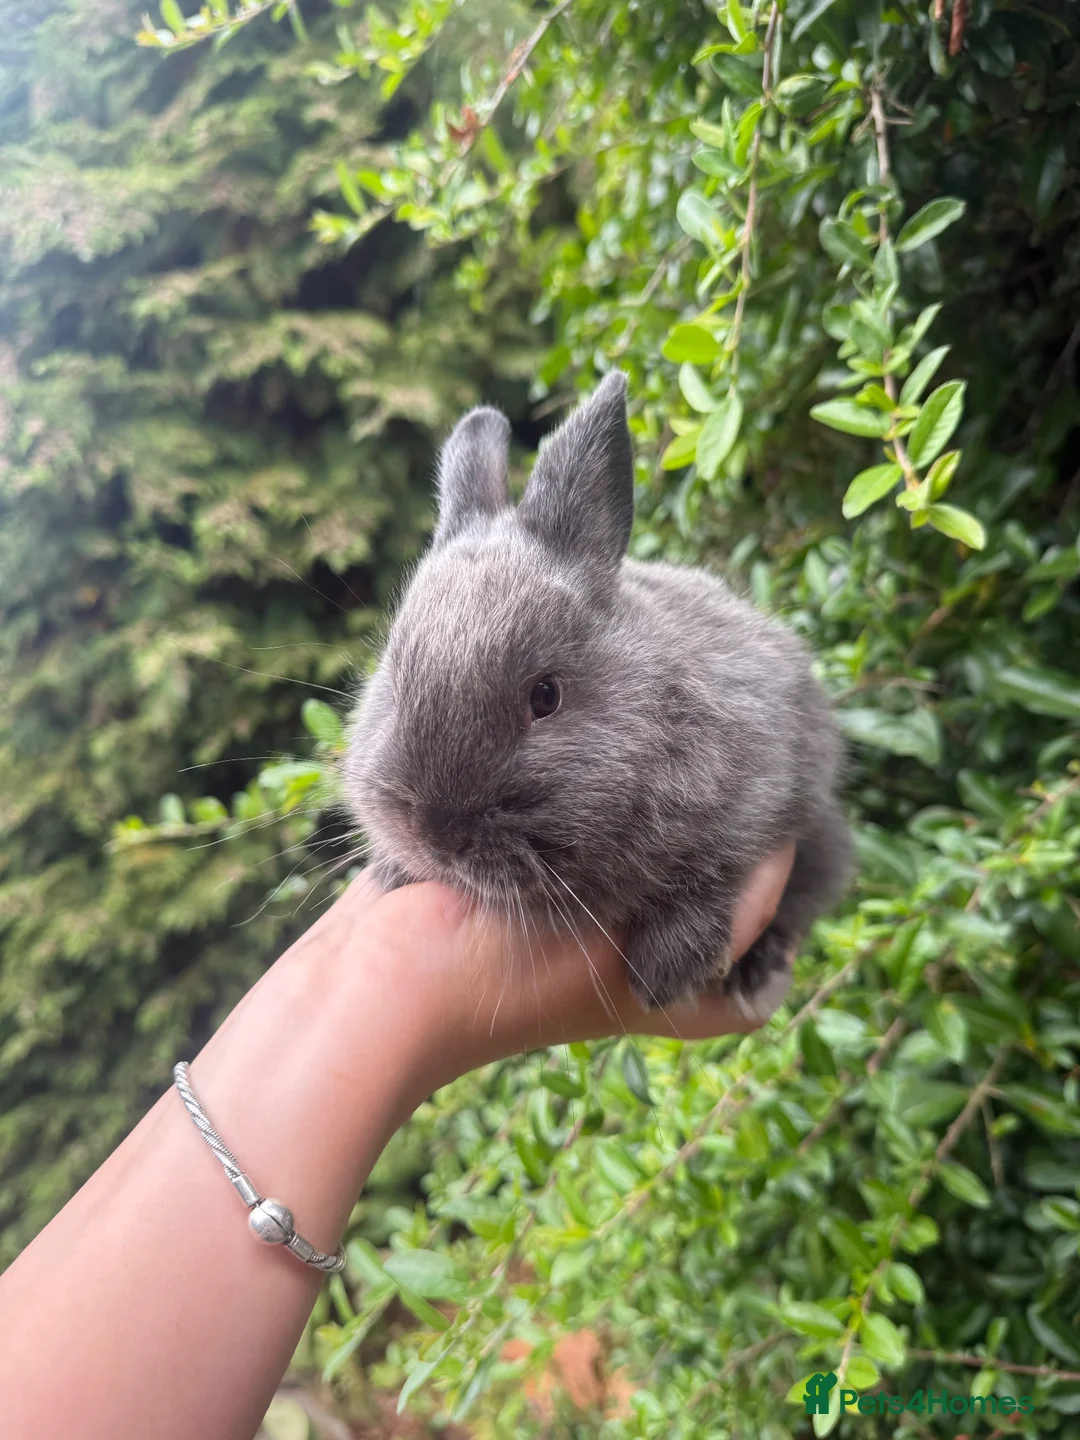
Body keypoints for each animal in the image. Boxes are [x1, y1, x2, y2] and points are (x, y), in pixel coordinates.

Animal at [344, 371, 852, 1017]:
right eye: (392, 677)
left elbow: (717, 871)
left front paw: (663, 974)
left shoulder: (759, 789)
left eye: (546, 697)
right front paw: (391, 870)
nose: (438, 835)